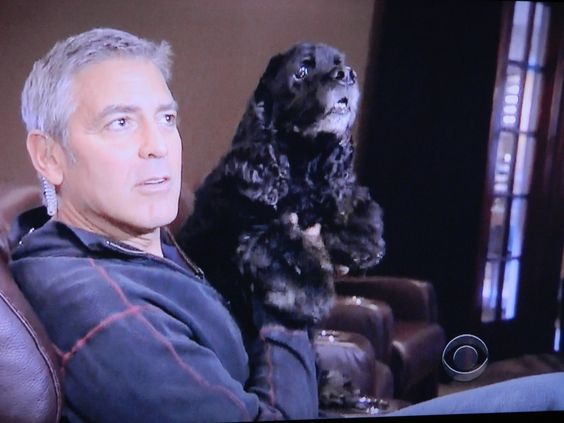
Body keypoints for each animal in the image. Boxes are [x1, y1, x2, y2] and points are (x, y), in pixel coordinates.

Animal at [178, 42, 386, 334]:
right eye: (302, 71)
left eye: (340, 63)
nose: (346, 75)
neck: (303, 163)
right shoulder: (255, 228)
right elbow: (285, 246)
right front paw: (310, 291)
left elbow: (348, 202)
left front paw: (361, 239)